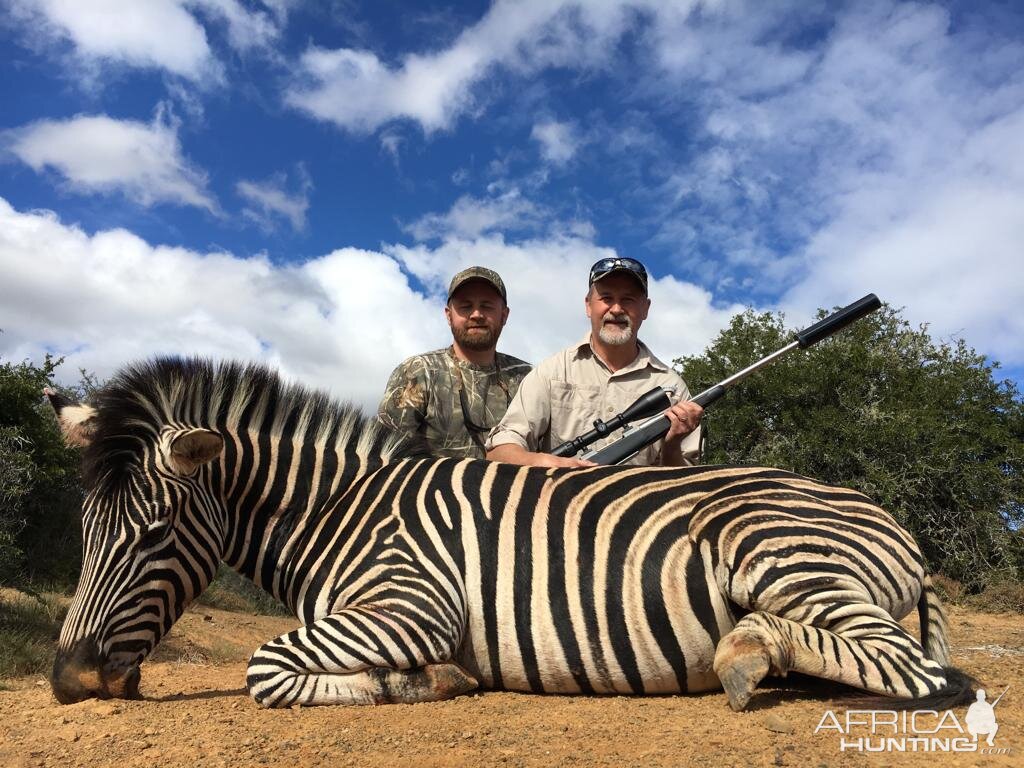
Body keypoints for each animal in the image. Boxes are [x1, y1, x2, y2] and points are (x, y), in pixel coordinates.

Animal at [46, 358, 974, 712]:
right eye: (84, 530)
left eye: (156, 532)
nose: (68, 681)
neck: (343, 510)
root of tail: (890, 522)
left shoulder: (410, 604)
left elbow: (263, 667)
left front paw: (411, 682)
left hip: (766, 543)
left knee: (915, 668)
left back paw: (747, 655)